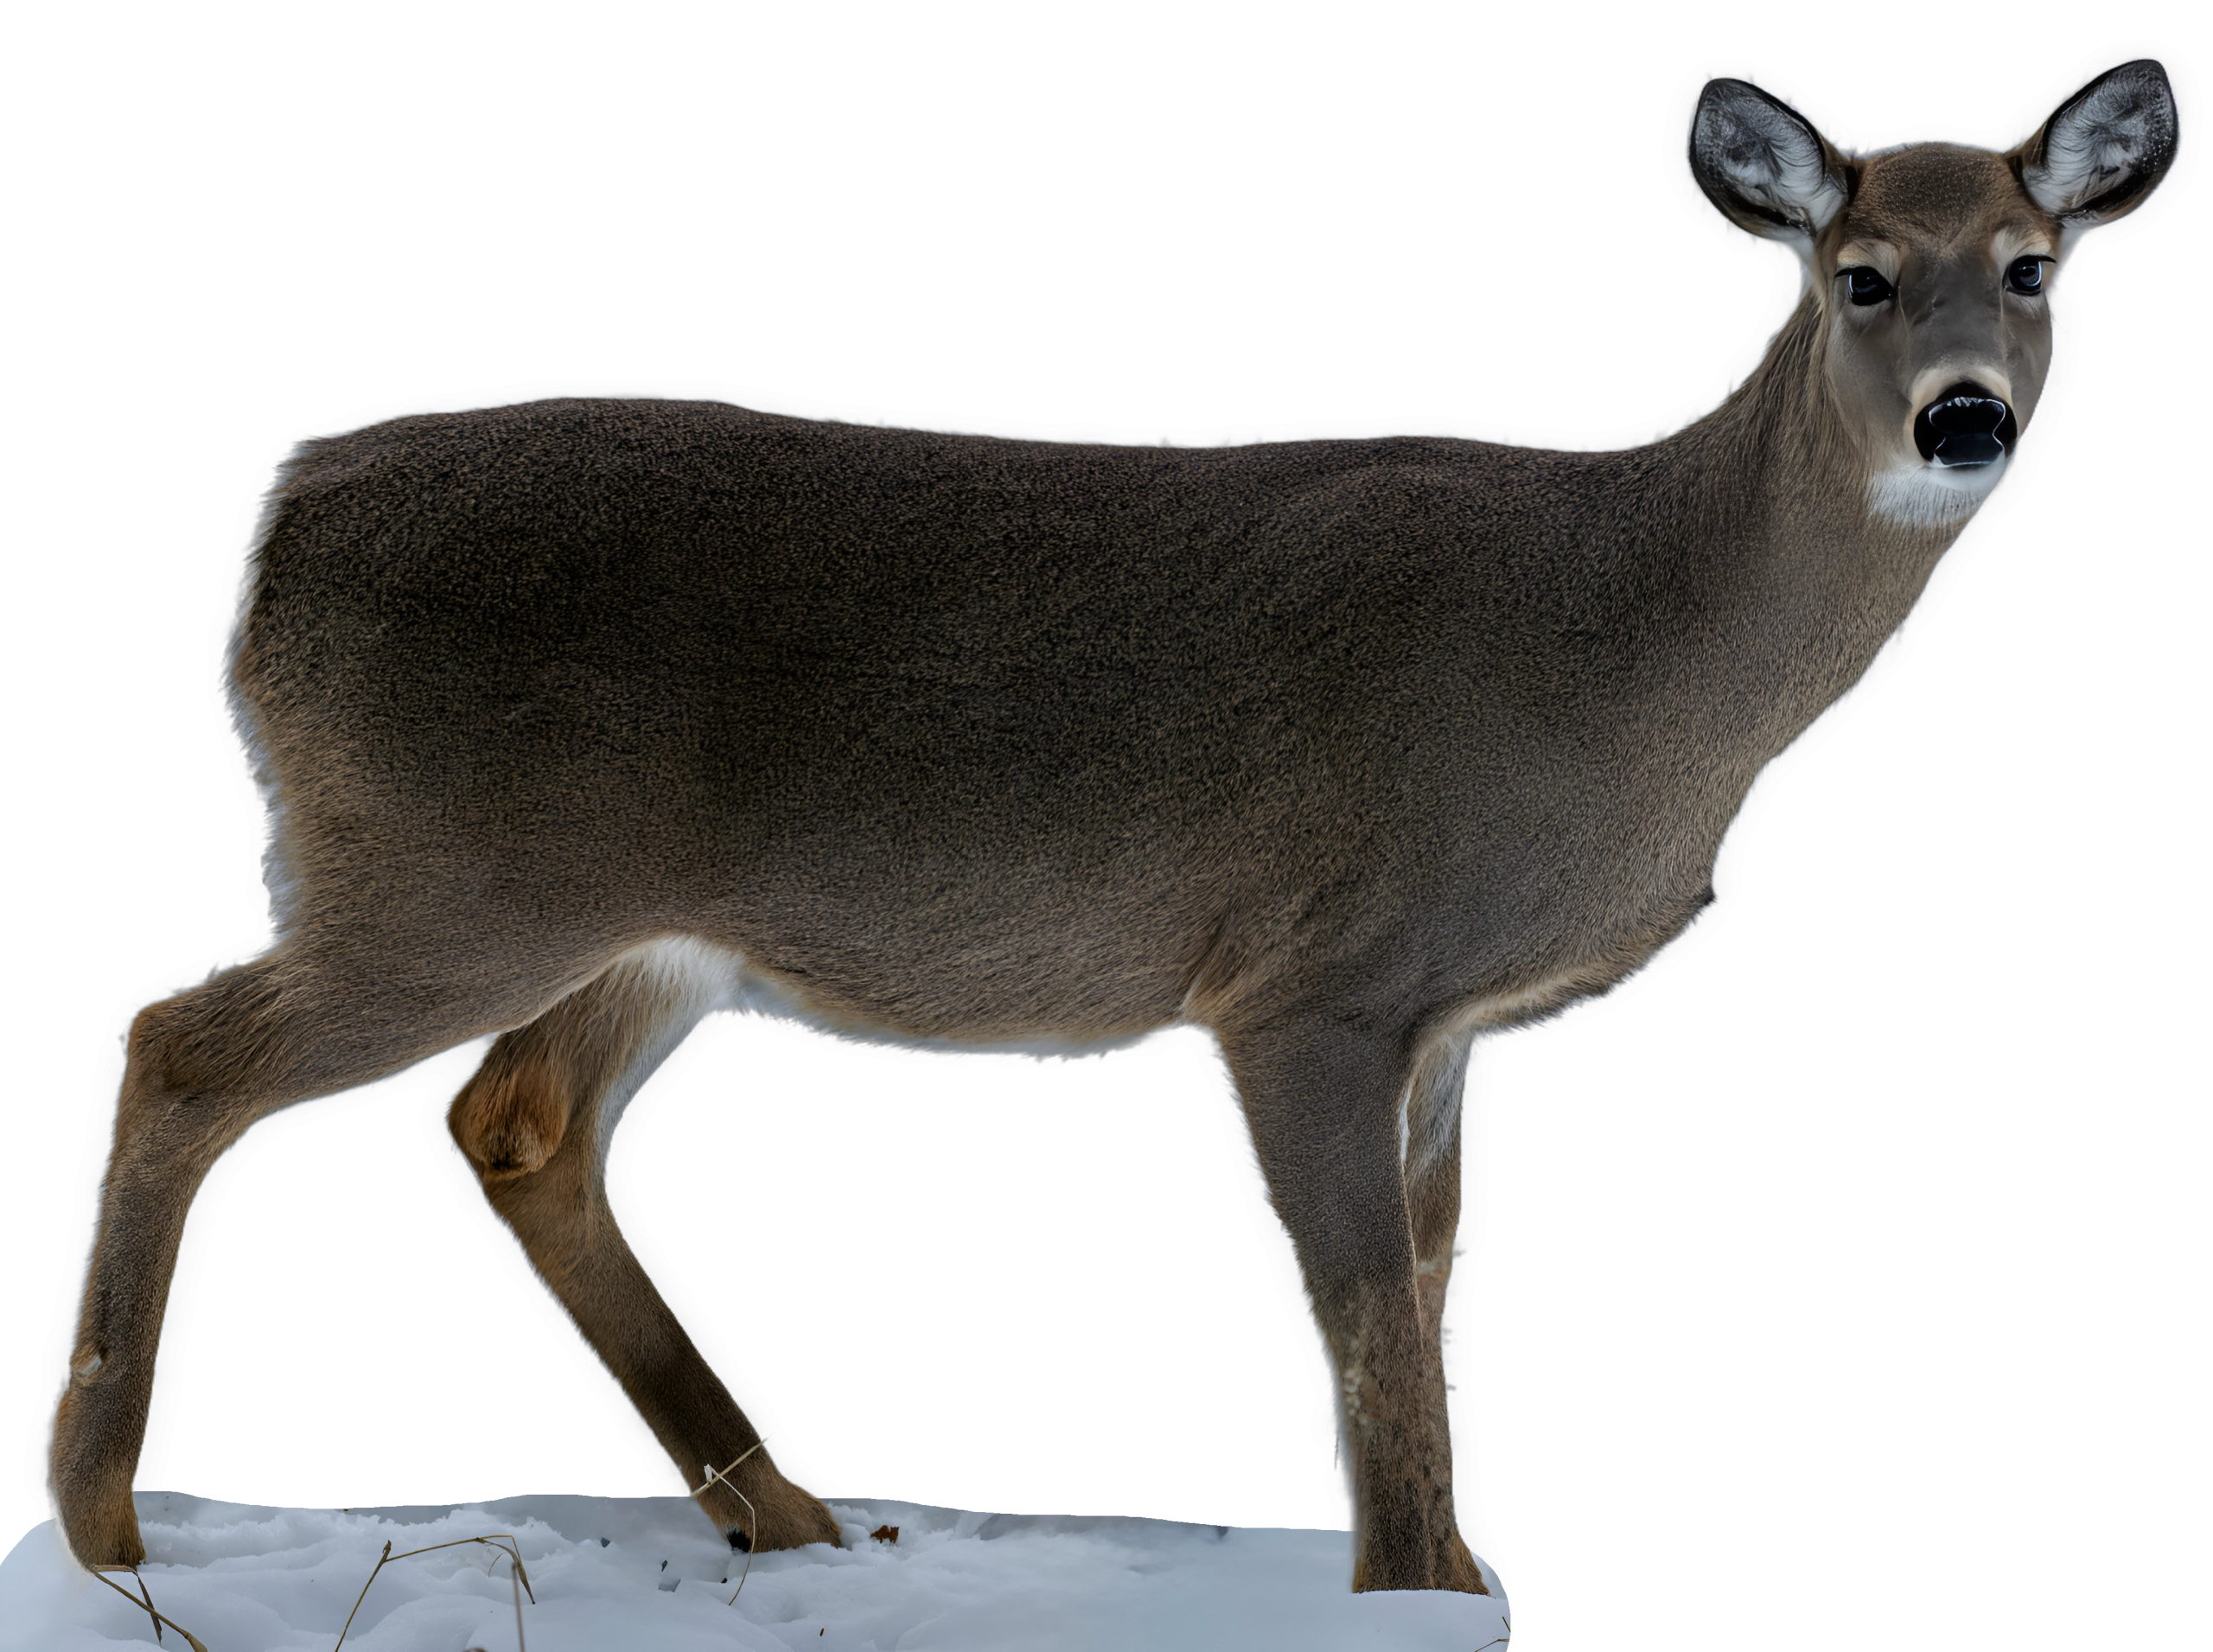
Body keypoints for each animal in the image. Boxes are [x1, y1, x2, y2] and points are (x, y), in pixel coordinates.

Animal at [48, 60, 2178, 1596]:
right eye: (1856, 274)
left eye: (2032, 265)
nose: (1964, 418)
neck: (1630, 649)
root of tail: (280, 526)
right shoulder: (1306, 973)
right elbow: (1365, 1319)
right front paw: (1411, 1591)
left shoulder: (1446, 1019)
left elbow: (1427, 1283)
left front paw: (1457, 1574)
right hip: (438, 872)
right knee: (184, 1046)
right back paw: (104, 1529)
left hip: (638, 927)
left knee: (516, 1121)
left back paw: (793, 1522)